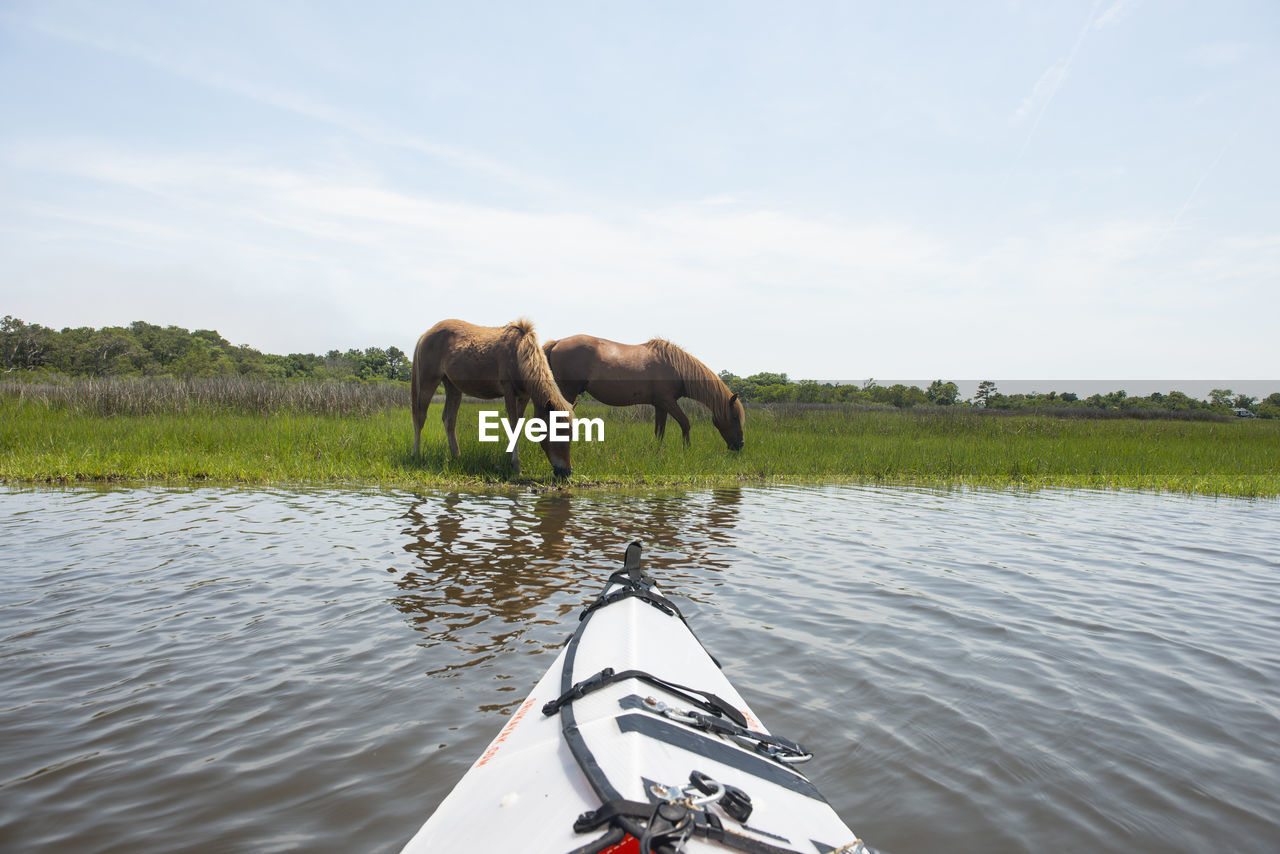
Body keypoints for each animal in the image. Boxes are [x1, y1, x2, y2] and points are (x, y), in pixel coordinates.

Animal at [412, 320, 573, 481]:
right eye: (557, 433)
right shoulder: (509, 391)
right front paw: (516, 466)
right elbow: (513, 426)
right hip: (428, 382)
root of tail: (426, 334)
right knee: (420, 418)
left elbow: (519, 426)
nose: (567, 472)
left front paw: (508, 459)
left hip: (452, 386)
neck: (519, 352)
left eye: (571, 435)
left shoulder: (524, 396)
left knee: (449, 420)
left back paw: (456, 456)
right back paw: (417, 455)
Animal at [545, 335, 747, 453]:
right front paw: (687, 450)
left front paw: (657, 451)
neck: (676, 368)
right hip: (567, 392)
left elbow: (660, 431)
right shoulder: (668, 401)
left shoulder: (660, 405)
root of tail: (557, 343)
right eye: (735, 417)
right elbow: (685, 423)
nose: (739, 445)